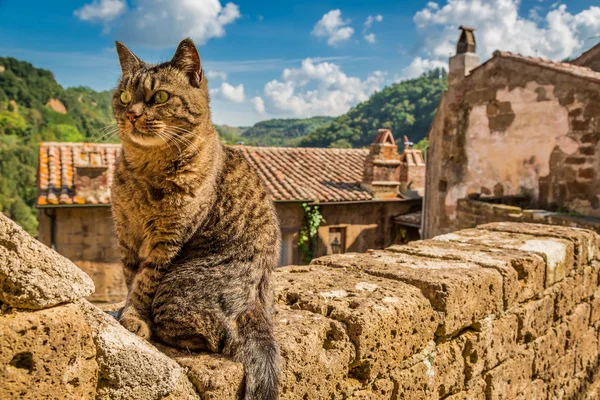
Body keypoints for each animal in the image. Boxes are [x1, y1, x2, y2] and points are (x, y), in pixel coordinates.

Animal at [110, 38, 284, 400]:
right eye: (124, 97)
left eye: (160, 97)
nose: (131, 114)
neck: (144, 169)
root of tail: (255, 306)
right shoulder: (126, 234)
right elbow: (130, 276)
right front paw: (126, 309)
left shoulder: (166, 239)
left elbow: (143, 283)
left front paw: (134, 317)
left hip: (178, 291)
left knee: (212, 336)